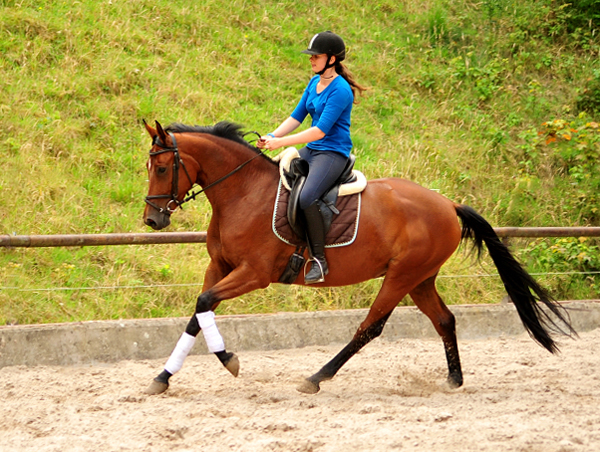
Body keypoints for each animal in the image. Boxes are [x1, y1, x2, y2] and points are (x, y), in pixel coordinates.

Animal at [142, 119, 576, 396]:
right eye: (150, 166)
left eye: (162, 167)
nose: (152, 218)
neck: (243, 193)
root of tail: (447, 204)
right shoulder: (220, 267)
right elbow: (198, 312)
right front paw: (163, 377)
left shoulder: (254, 273)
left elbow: (204, 304)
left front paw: (229, 359)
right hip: (420, 279)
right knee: (444, 320)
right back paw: (454, 379)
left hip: (401, 277)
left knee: (369, 327)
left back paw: (316, 377)